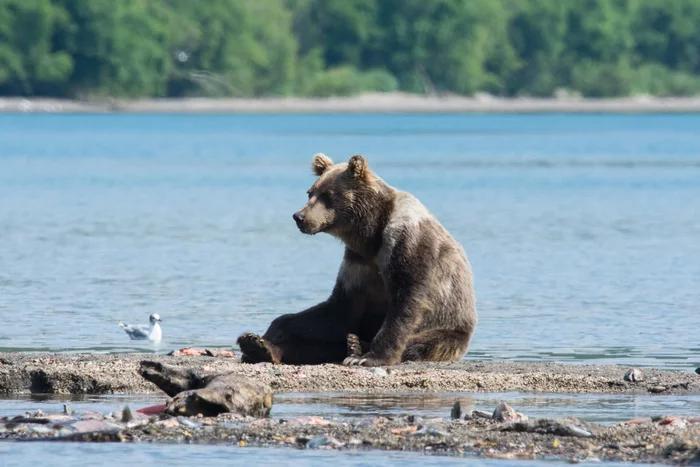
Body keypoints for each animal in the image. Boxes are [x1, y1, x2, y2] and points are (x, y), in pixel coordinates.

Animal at [237, 153, 476, 366]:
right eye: (310, 192)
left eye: (327, 195)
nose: (299, 216)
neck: (372, 233)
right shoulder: (357, 260)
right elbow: (338, 310)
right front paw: (268, 335)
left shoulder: (406, 241)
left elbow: (405, 301)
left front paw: (370, 357)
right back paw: (257, 347)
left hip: (451, 330)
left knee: (422, 343)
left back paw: (356, 347)